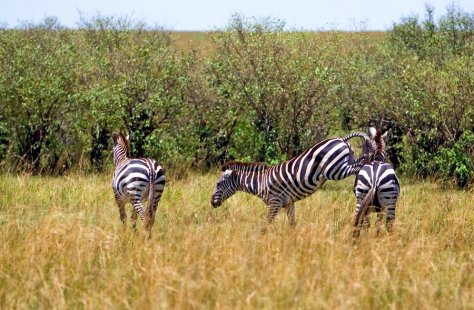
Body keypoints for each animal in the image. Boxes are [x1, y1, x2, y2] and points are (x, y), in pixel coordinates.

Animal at [211, 131, 374, 228]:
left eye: (218, 184)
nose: (212, 203)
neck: (260, 182)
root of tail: (341, 138)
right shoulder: (288, 203)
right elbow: (292, 224)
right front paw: (292, 241)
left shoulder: (274, 202)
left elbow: (266, 224)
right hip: (345, 162)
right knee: (359, 162)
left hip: (335, 170)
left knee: (361, 163)